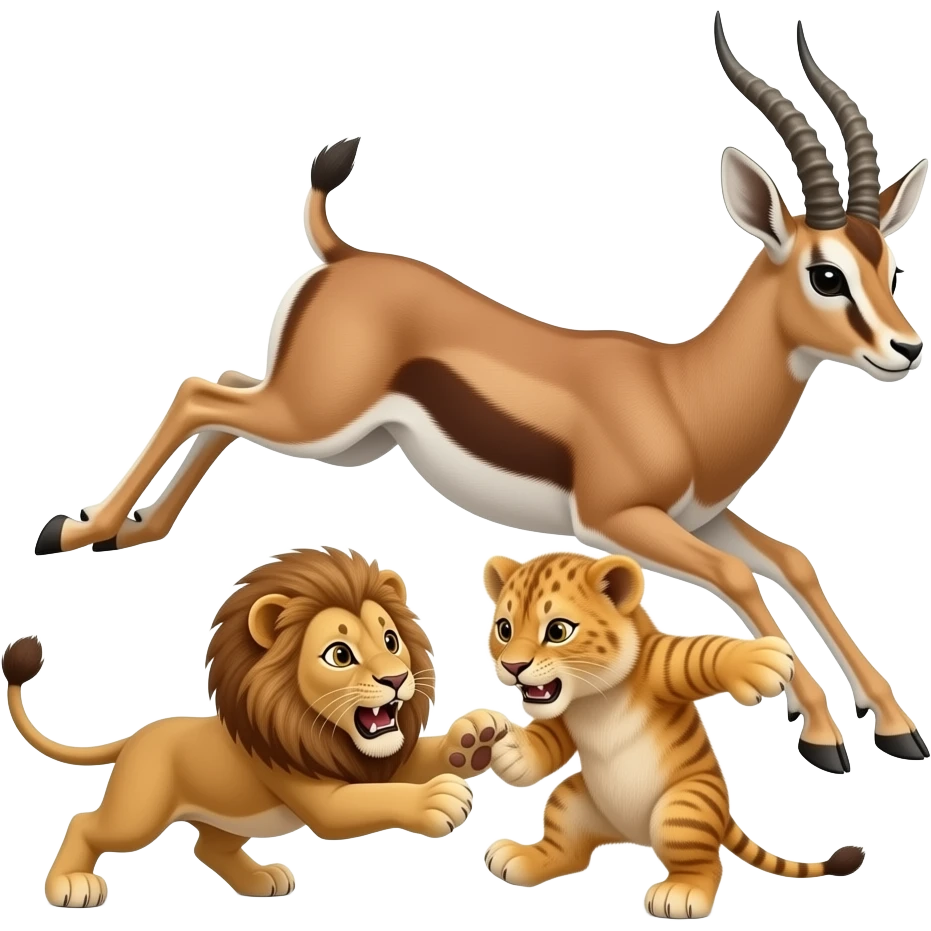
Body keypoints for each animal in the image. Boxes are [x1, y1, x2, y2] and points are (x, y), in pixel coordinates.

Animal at [2, 547, 509, 909]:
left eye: (390, 639)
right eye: (339, 654)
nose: (397, 679)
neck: (319, 728)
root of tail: (140, 734)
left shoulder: (375, 759)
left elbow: (416, 758)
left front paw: (474, 738)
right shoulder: (319, 790)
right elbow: (367, 802)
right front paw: (436, 800)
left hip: (226, 816)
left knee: (209, 849)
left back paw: (260, 879)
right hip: (139, 810)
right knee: (87, 824)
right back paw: (70, 886)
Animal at [34, 14, 927, 774]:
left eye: (889, 263)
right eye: (824, 274)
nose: (906, 348)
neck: (681, 392)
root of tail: (341, 255)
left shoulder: (699, 514)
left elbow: (794, 562)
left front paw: (896, 727)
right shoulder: (621, 521)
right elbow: (742, 580)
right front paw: (821, 735)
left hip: (332, 432)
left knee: (218, 397)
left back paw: (137, 531)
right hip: (315, 421)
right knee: (195, 391)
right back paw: (76, 532)